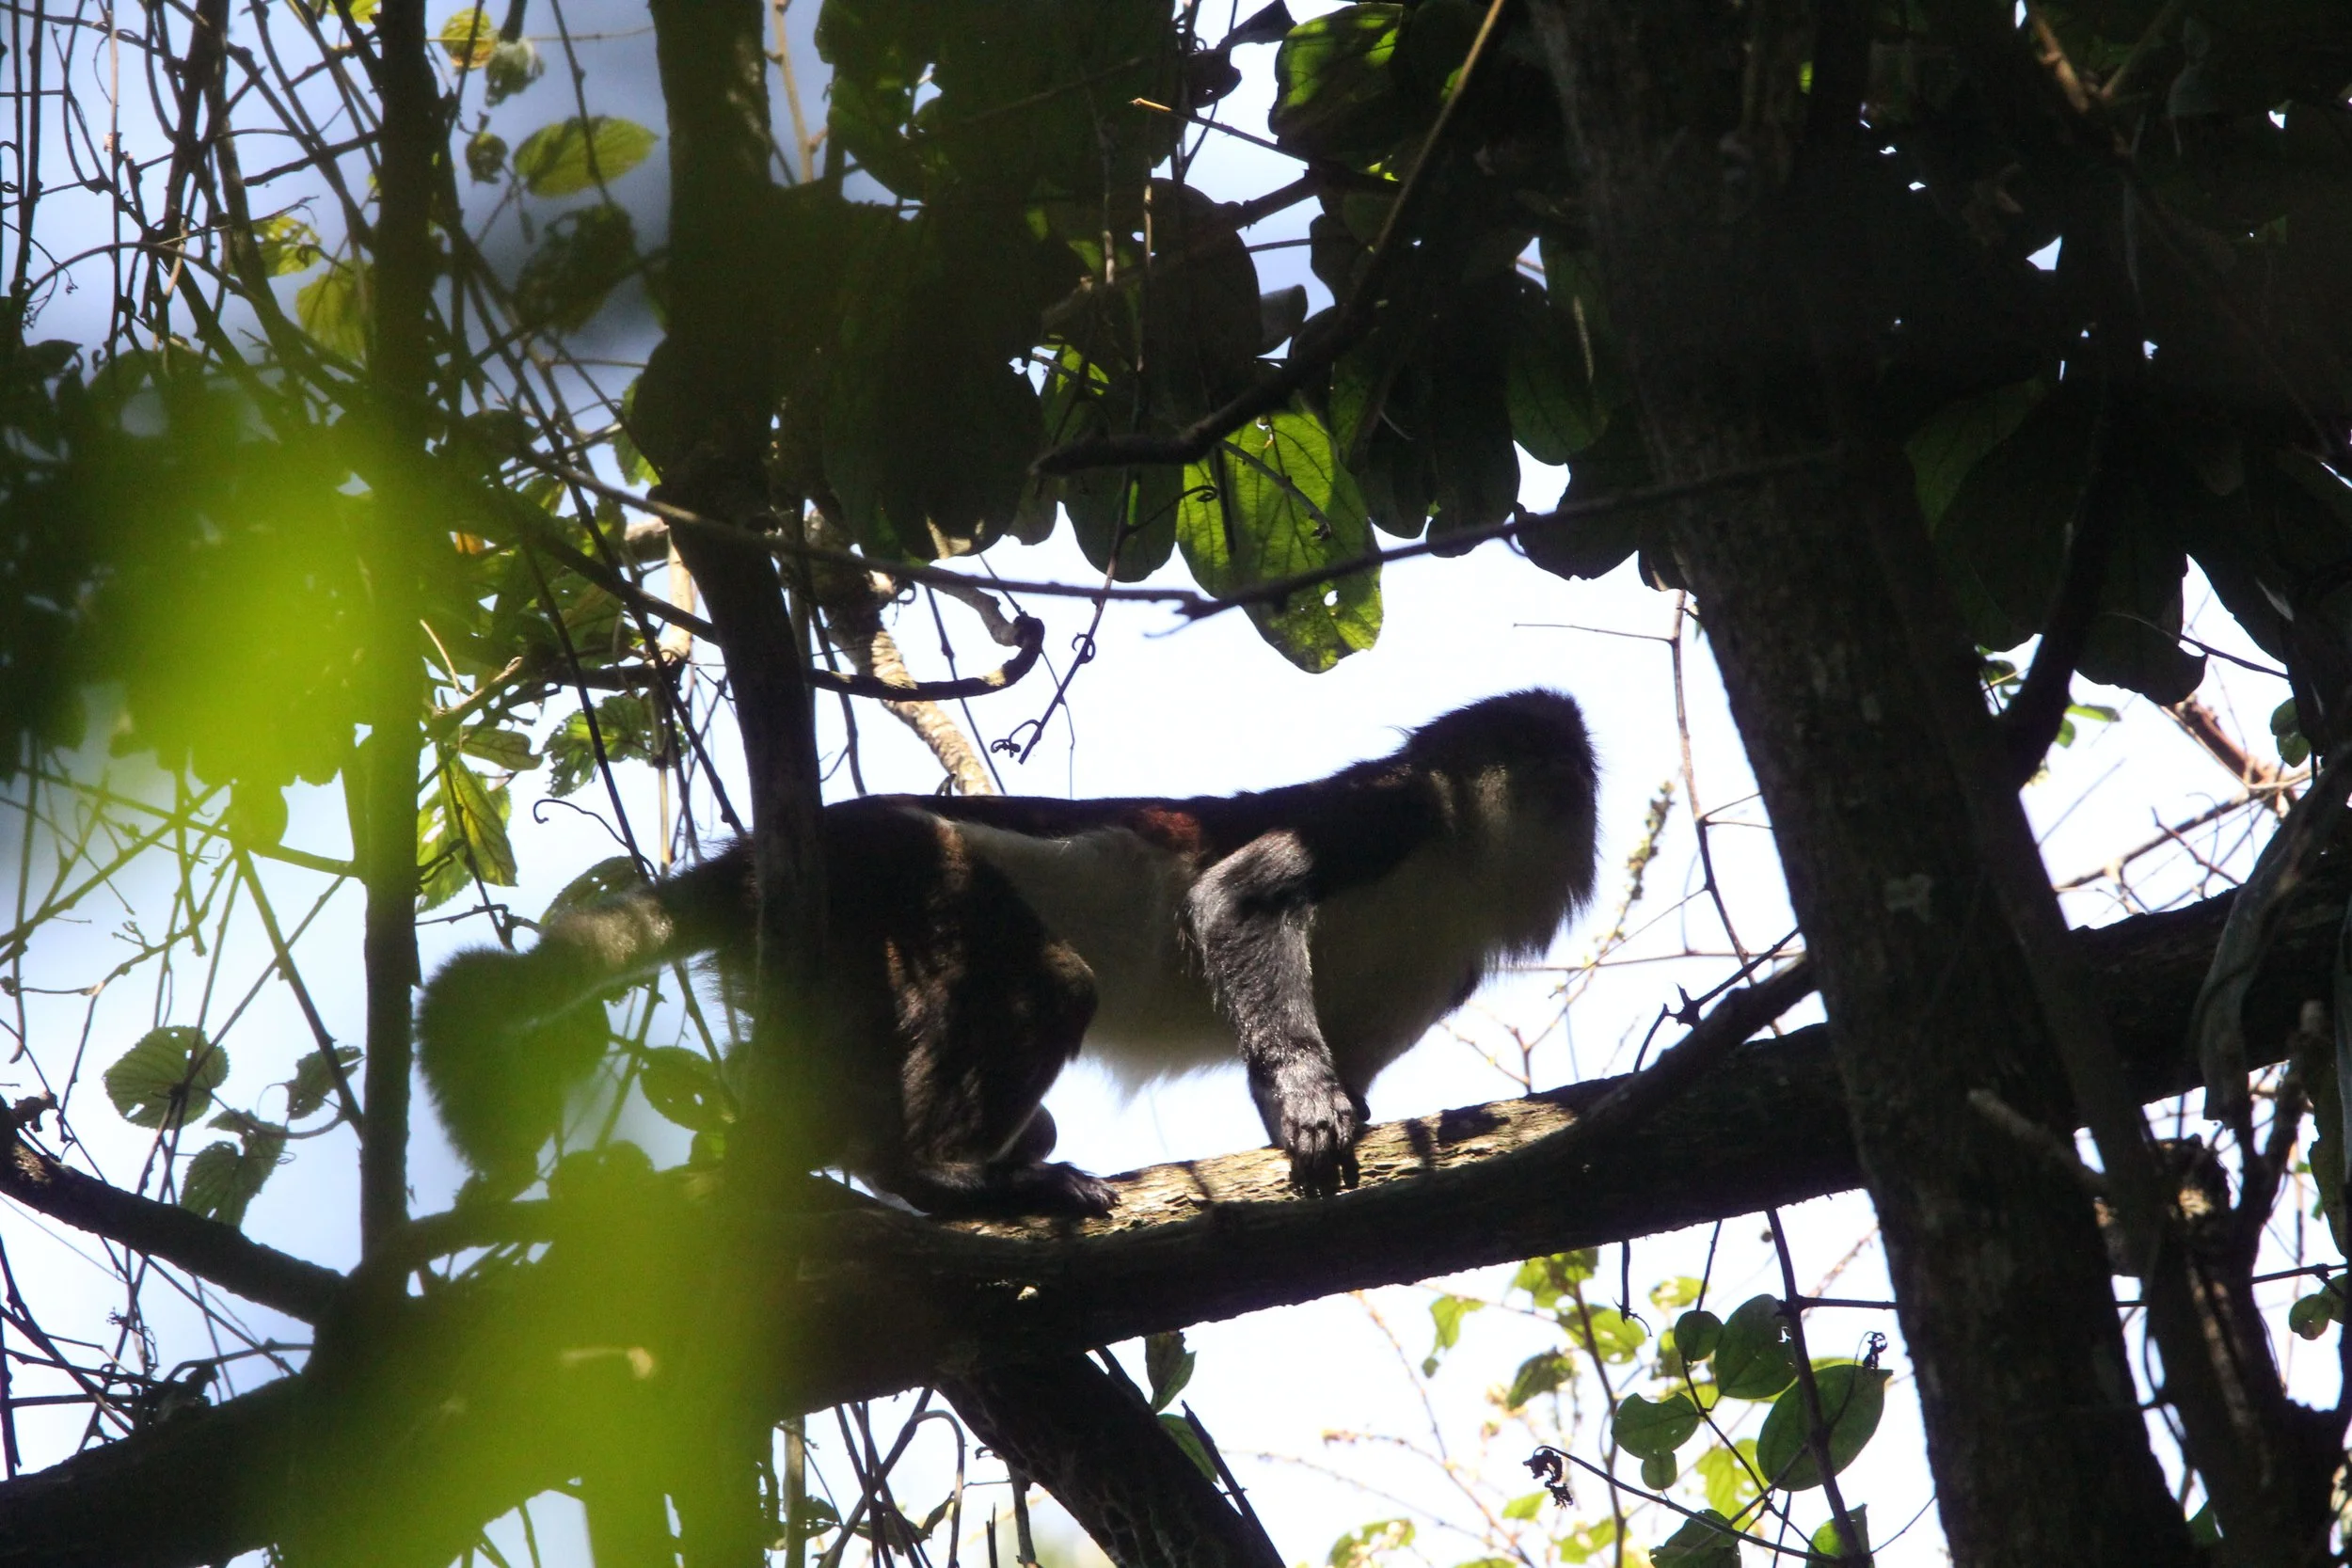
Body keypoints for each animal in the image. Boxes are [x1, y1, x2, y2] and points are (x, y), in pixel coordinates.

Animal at [416, 689, 1599, 1219]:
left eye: (1581, 772)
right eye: (1541, 761)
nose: (1577, 795)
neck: (1463, 867)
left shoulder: (1452, 956)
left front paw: (1311, 1108)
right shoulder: (1395, 809)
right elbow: (1241, 891)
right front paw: (1311, 1102)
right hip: (905, 876)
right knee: (1045, 982)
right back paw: (936, 1172)